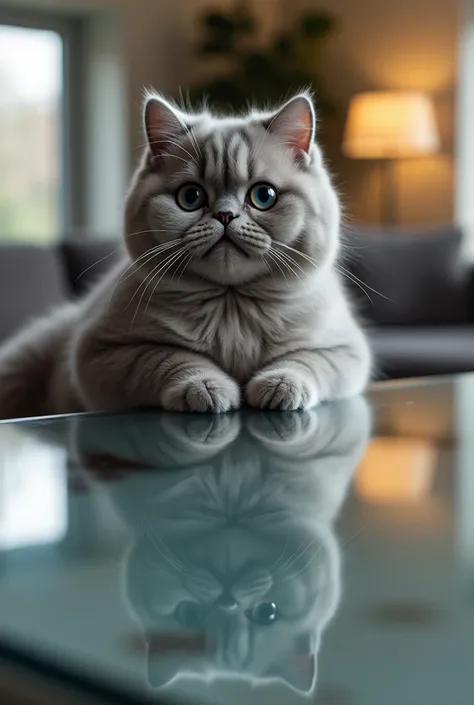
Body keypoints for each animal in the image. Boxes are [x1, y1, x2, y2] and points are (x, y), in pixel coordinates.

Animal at [0, 89, 370, 418]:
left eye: (263, 196)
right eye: (190, 197)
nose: (225, 215)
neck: (231, 304)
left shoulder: (345, 348)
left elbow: (304, 360)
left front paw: (279, 386)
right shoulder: (103, 352)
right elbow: (170, 359)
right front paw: (207, 388)